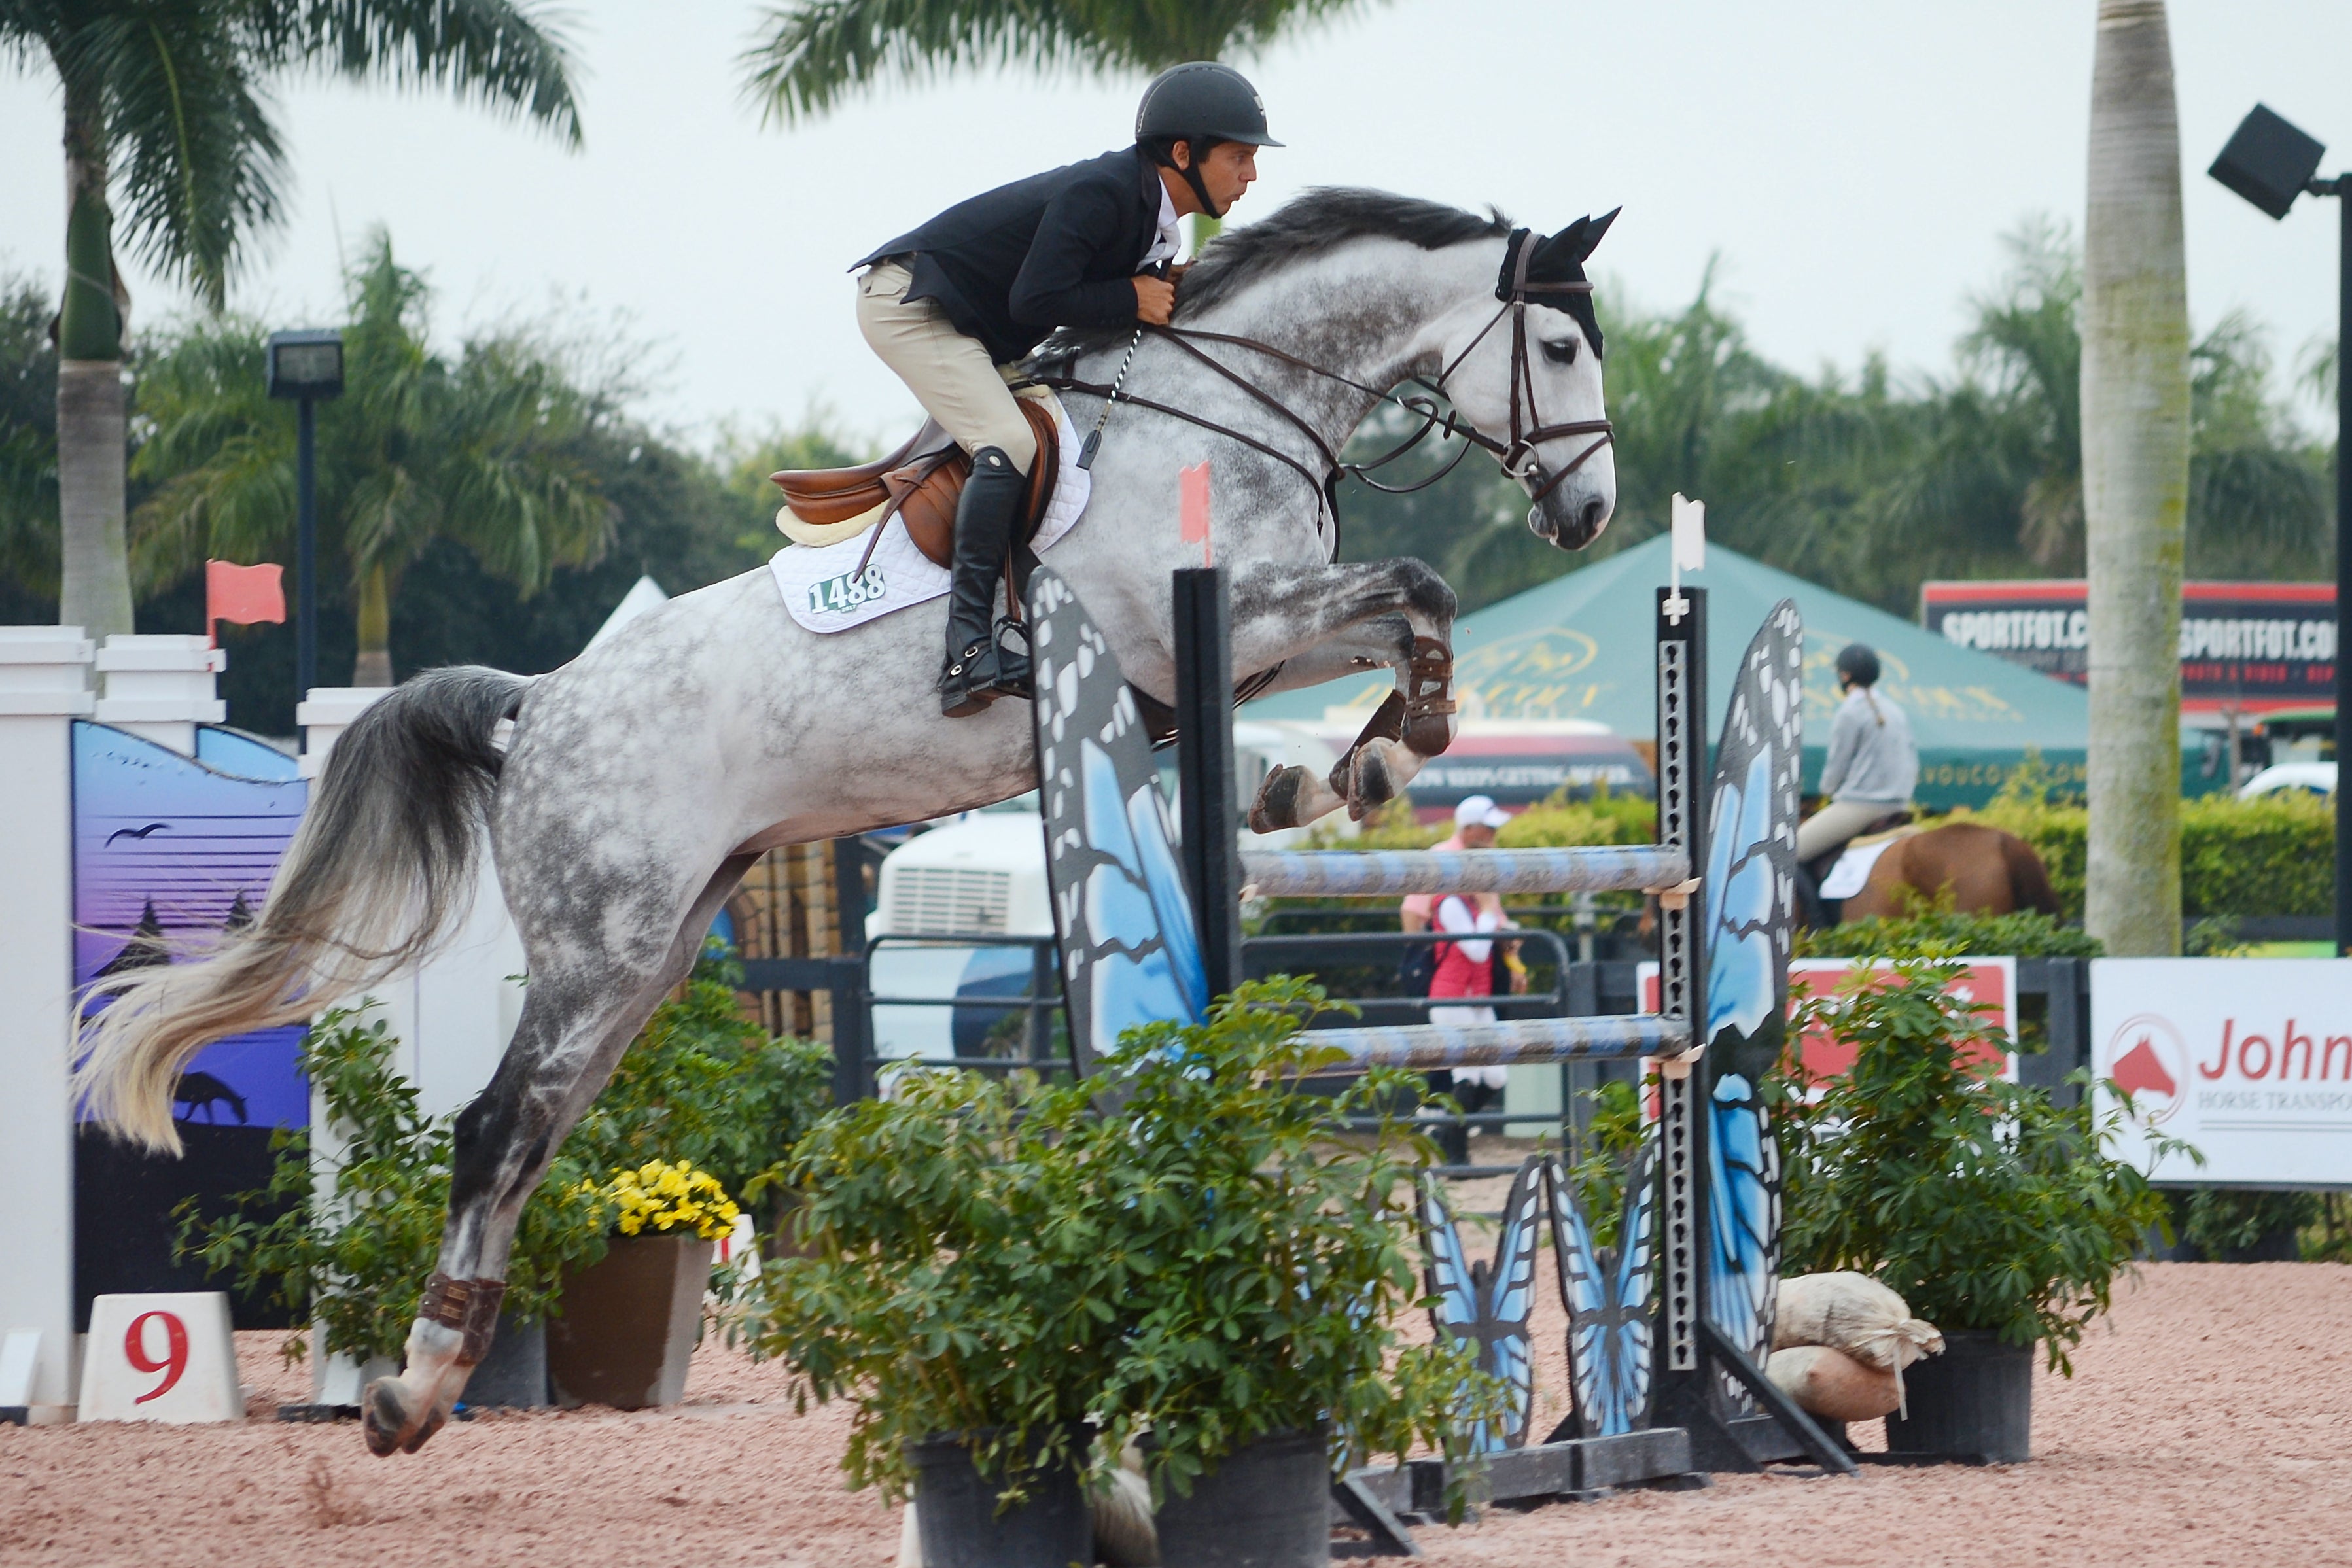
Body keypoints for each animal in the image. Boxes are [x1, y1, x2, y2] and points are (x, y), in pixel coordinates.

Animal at [72, 188, 1622, 1458]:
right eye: (1557, 349)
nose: (1593, 511)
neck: (1233, 407)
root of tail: (536, 704)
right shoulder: (1209, 626)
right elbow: (1416, 583)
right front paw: (1392, 748)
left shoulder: (1243, 654)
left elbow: (1394, 618)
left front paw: (1339, 772)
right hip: (602, 939)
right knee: (496, 1121)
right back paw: (413, 1385)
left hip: (653, 949)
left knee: (537, 1128)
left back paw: (438, 1368)